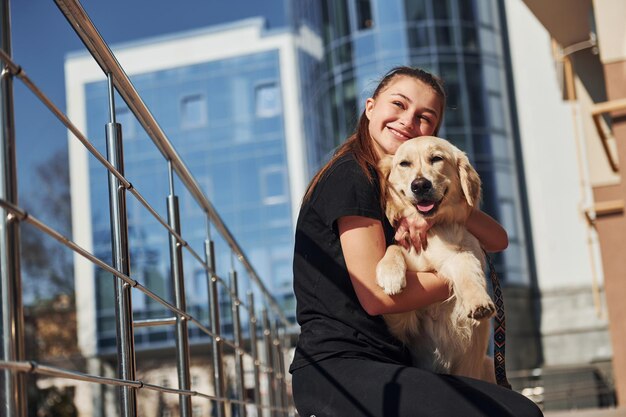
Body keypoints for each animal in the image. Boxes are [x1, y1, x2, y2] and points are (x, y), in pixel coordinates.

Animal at [372, 136, 494, 380]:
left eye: (437, 158)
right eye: (404, 163)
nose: (420, 185)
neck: (432, 229)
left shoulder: (462, 252)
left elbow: (464, 264)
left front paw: (478, 301)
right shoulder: (401, 322)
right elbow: (395, 248)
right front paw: (390, 274)